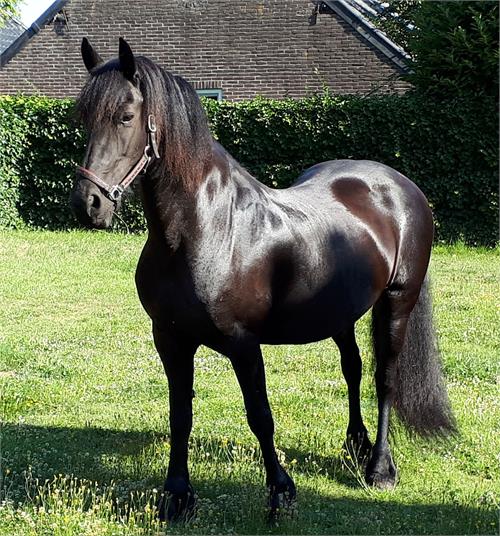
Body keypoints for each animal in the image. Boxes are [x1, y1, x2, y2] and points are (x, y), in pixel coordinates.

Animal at [71, 38, 458, 524]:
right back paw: (355, 444)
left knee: (384, 378)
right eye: (83, 118)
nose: (88, 204)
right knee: (353, 369)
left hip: (397, 302)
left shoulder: (242, 342)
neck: (206, 230)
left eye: (125, 116)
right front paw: (177, 496)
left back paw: (380, 468)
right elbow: (180, 415)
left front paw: (281, 492)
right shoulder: (171, 339)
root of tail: (401, 185)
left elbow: (260, 415)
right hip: (340, 313)